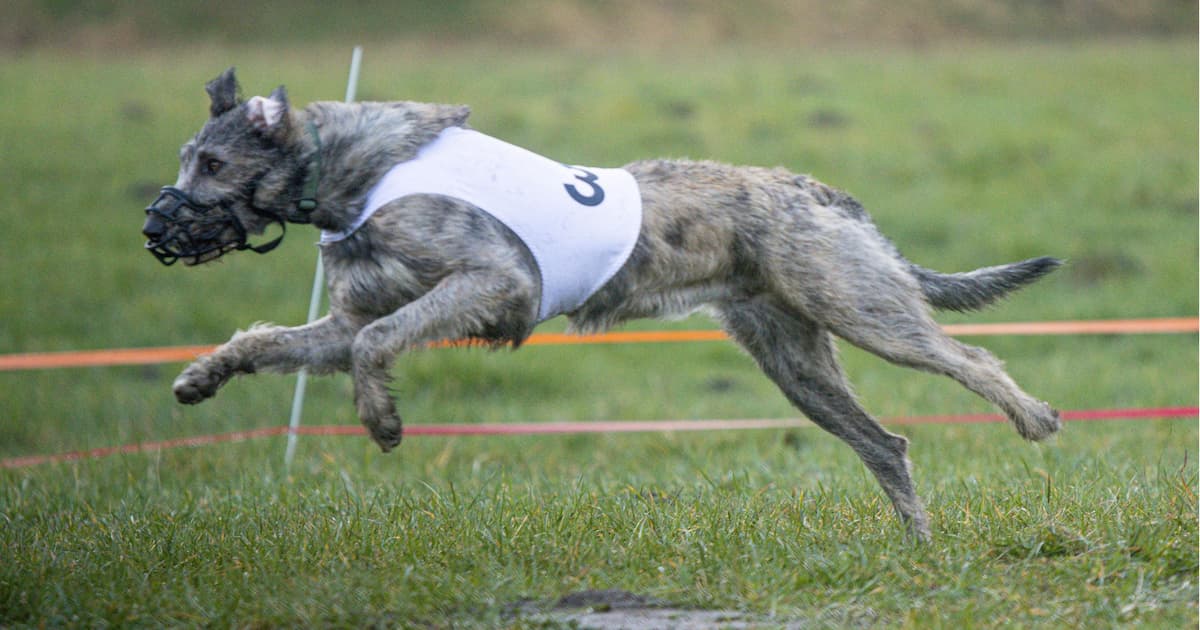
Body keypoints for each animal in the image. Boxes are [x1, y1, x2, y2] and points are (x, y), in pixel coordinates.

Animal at [142, 69, 1060, 540]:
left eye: (213, 164)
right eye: (187, 156)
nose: (155, 227)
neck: (347, 171)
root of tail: (824, 192)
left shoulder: (490, 283)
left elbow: (383, 342)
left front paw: (382, 421)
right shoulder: (346, 317)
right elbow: (282, 339)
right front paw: (198, 378)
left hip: (859, 305)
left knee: (966, 355)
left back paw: (1033, 417)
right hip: (794, 360)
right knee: (885, 444)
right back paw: (919, 546)